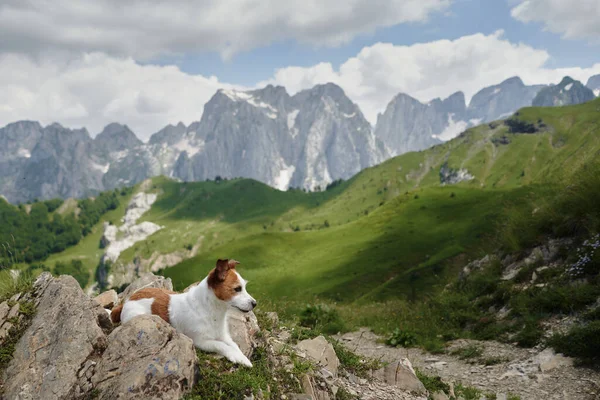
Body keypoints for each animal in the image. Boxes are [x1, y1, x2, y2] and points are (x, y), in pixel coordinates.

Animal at [110, 258, 255, 368]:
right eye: (237, 289)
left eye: (244, 287)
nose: (255, 303)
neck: (210, 310)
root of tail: (129, 299)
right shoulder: (200, 341)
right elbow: (222, 345)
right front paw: (235, 356)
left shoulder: (224, 335)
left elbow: (234, 345)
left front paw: (242, 357)